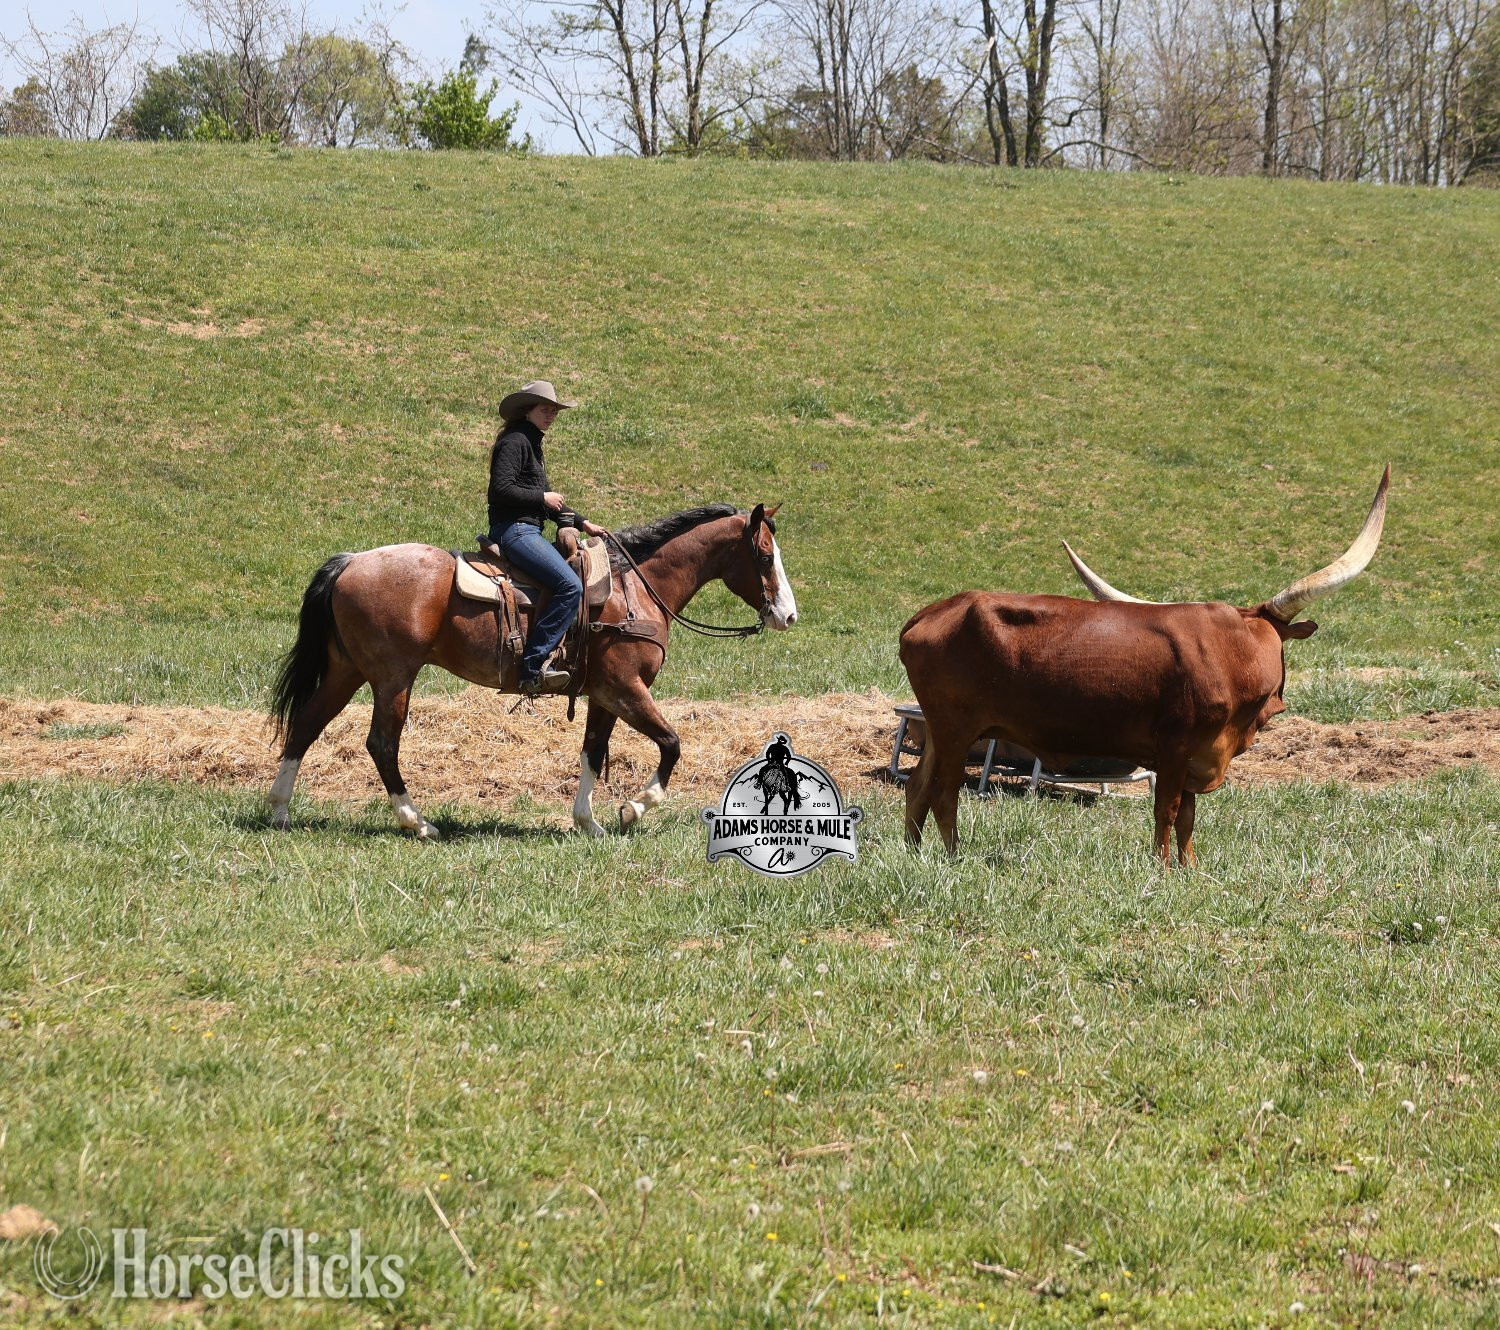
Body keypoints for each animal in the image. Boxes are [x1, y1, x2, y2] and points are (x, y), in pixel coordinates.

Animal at [268, 503, 797, 837]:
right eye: (764, 555)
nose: (788, 616)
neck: (633, 590)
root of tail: (351, 562)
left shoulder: (603, 695)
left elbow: (592, 753)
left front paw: (589, 823)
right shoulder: (627, 688)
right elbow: (671, 743)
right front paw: (633, 809)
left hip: (347, 671)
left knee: (307, 724)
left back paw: (279, 810)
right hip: (393, 677)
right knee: (382, 743)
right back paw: (417, 823)